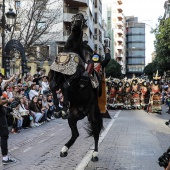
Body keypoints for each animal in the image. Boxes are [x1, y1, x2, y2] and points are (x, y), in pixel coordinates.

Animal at [48, 12, 103, 161]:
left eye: (82, 18)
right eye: (73, 17)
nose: (77, 21)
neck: (71, 50)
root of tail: (82, 112)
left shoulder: (76, 76)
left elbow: (66, 85)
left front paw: (63, 107)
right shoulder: (57, 74)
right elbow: (53, 86)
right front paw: (57, 109)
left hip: (92, 115)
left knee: (96, 131)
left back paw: (95, 154)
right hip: (73, 118)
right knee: (75, 134)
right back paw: (64, 149)